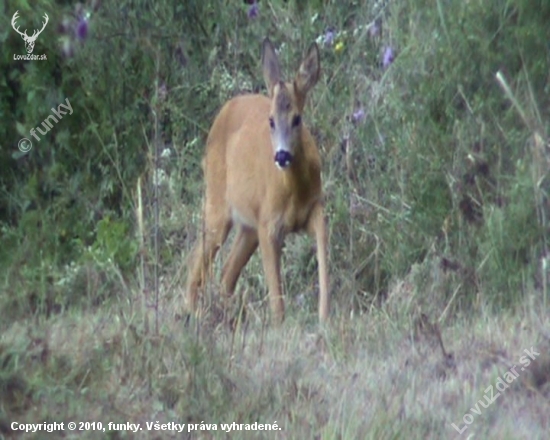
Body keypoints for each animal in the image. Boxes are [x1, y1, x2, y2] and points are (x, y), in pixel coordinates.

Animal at [188, 37, 330, 324]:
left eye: (297, 118)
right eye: (271, 121)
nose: (282, 156)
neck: (293, 191)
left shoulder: (314, 207)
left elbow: (323, 251)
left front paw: (324, 318)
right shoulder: (268, 223)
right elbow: (276, 297)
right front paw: (280, 326)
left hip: (248, 226)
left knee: (226, 273)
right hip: (217, 203)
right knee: (197, 263)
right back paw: (189, 315)